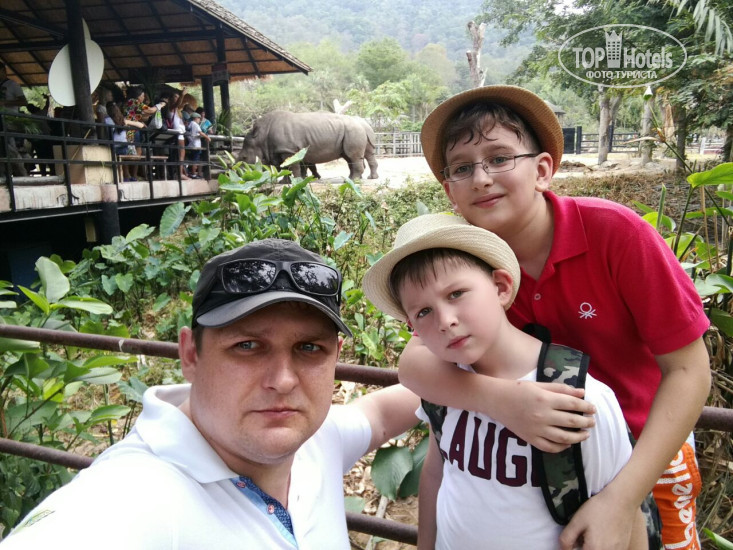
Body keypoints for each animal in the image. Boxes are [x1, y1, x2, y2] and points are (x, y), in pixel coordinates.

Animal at [238, 111, 379, 180]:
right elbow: (286, 168)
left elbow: (292, 166)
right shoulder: (281, 151)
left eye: (244, 158)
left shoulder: (288, 150)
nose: (241, 176)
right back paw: (367, 178)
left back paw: (353, 180)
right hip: (355, 131)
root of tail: (363, 123)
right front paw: (285, 182)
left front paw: (297, 181)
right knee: (358, 156)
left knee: (352, 156)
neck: (261, 137)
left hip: (353, 131)